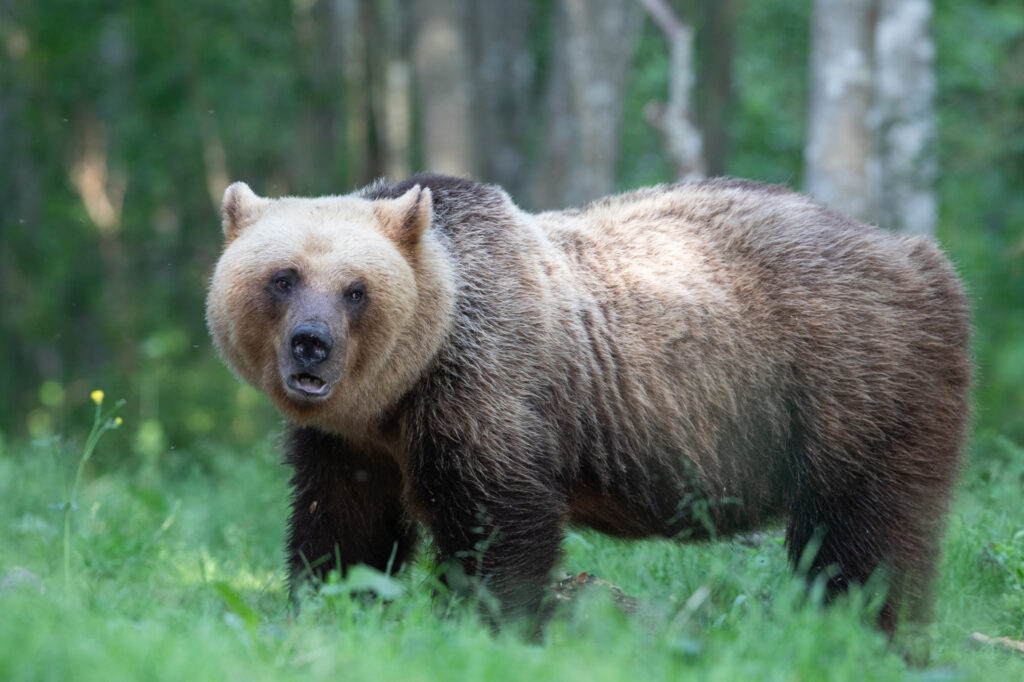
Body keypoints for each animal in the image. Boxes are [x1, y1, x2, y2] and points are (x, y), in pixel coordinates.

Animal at [205, 174, 966, 630]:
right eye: (283, 277)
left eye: (355, 289)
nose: (311, 345)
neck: (402, 387)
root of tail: (920, 255)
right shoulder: (354, 443)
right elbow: (342, 527)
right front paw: (335, 606)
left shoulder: (486, 388)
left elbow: (498, 525)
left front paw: (487, 623)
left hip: (849, 378)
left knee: (862, 533)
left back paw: (865, 631)